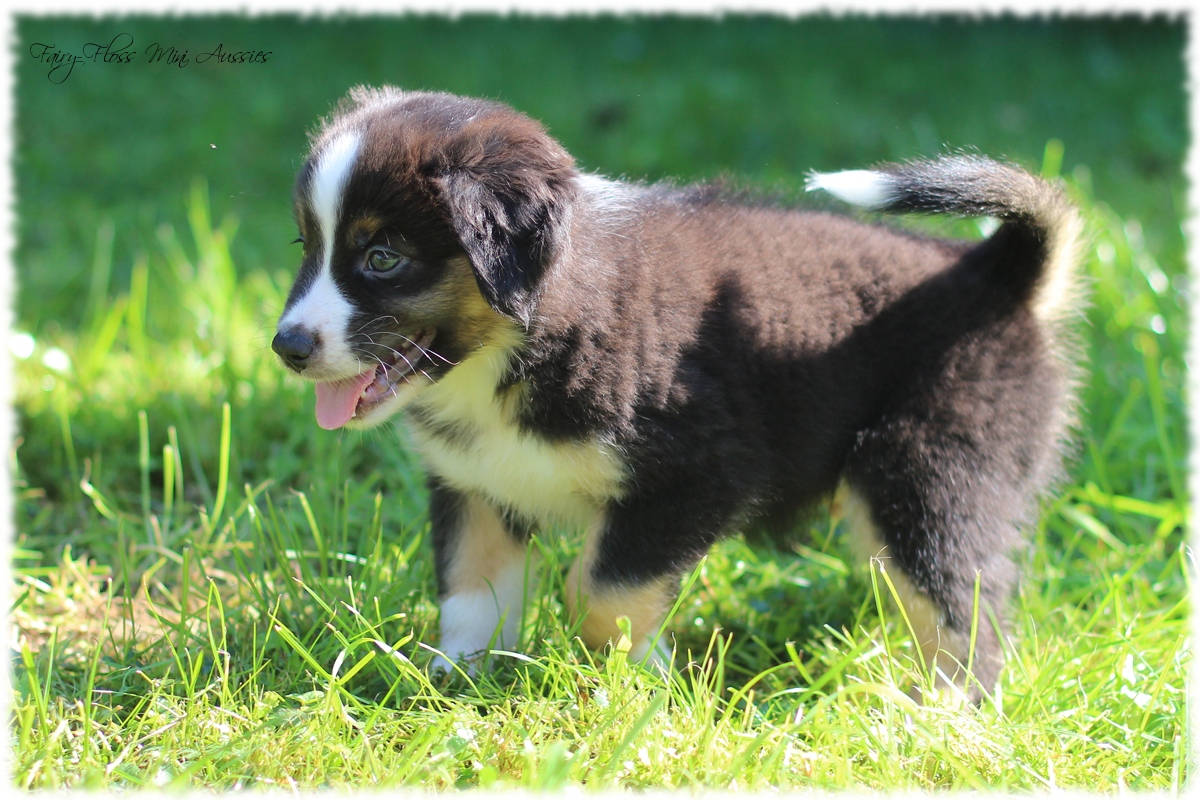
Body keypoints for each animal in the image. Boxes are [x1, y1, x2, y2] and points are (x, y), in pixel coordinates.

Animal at [274, 87, 1089, 695]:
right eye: (307, 247)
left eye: (382, 257)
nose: (286, 348)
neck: (525, 339)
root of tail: (997, 275)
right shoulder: (476, 484)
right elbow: (472, 593)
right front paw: (452, 685)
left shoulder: (699, 474)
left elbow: (599, 591)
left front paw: (640, 685)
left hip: (926, 472)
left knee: (963, 607)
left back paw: (938, 715)